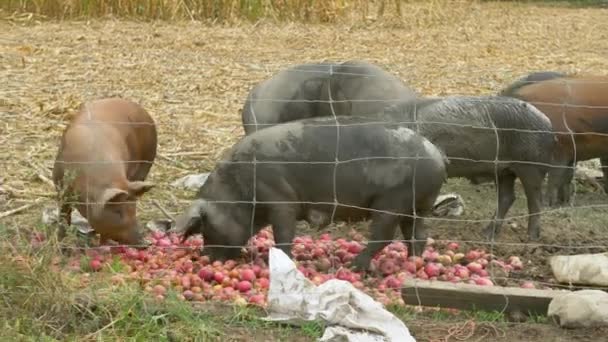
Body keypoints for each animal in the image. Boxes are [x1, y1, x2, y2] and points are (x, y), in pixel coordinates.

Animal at [51, 97, 158, 244]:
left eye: (134, 209)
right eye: (118, 211)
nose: (146, 242)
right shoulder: (60, 187)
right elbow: (63, 215)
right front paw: (61, 242)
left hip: (147, 161)